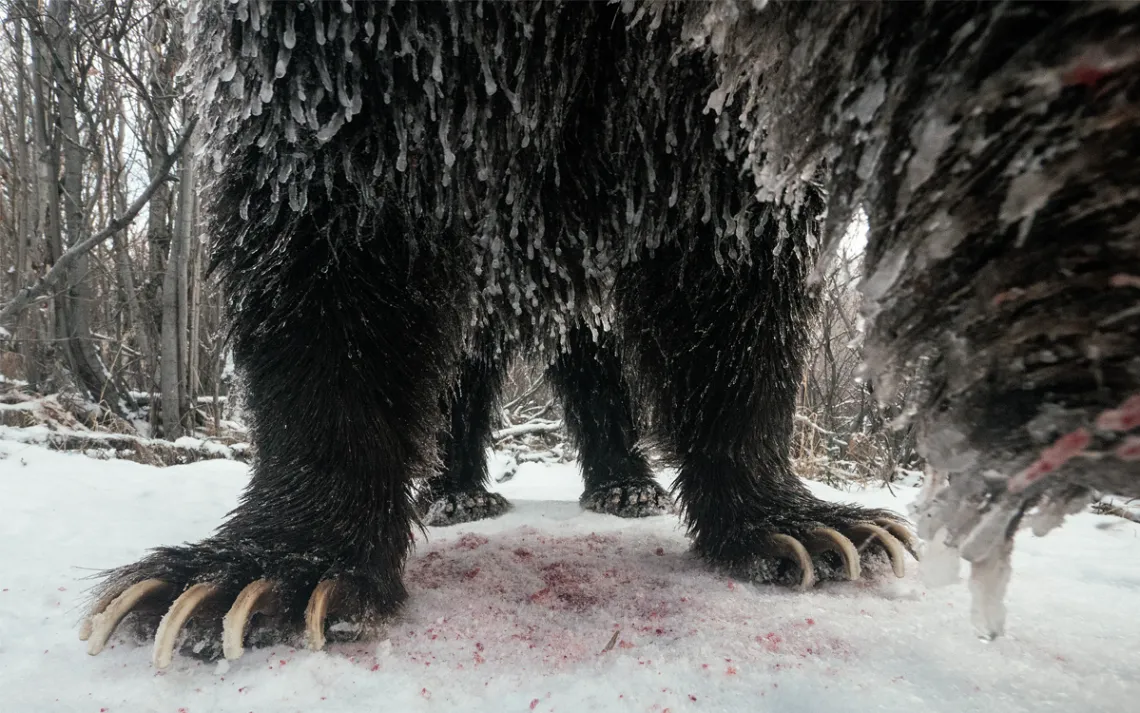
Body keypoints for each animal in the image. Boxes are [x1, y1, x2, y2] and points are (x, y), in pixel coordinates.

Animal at [79, 0, 1138, 667]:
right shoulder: (372, 46)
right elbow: (330, 198)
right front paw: (245, 582)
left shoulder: (693, 110)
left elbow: (733, 267)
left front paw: (815, 528)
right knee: (467, 362)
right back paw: (457, 490)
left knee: (596, 364)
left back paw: (627, 482)